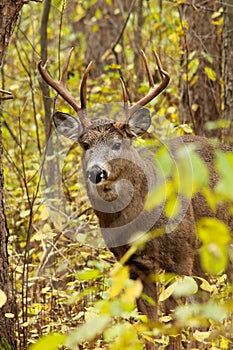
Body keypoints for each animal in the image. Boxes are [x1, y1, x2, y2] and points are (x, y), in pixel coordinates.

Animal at [38, 47, 233, 350]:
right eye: (85, 144)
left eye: (118, 143)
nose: (97, 172)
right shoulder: (132, 266)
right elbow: (150, 327)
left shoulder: (181, 255)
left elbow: (175, 326)